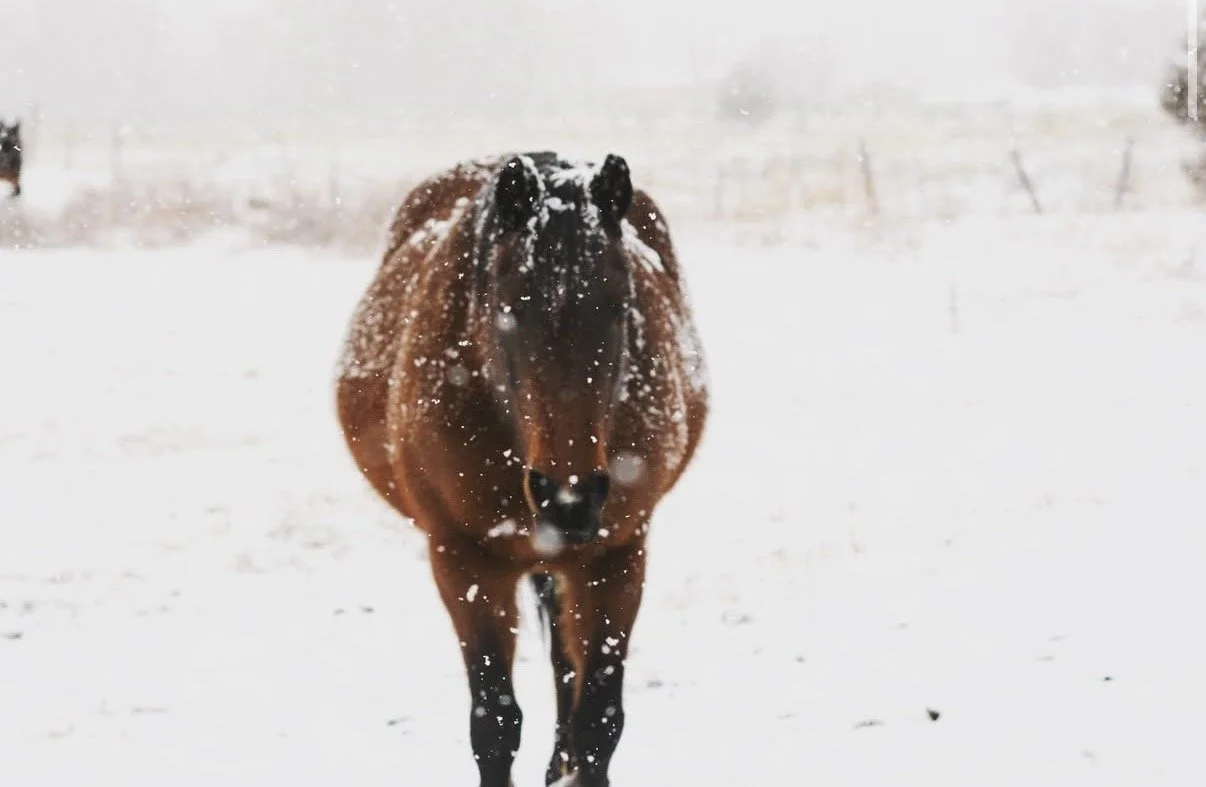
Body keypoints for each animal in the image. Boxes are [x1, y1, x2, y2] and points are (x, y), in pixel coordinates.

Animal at [334, 151, 709, 786]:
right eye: (507, 314)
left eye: (619, 307)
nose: (569, 499)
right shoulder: (463, 560)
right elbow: (494, 722)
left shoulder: (619, 555)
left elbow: (598, 719)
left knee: (565, 658)